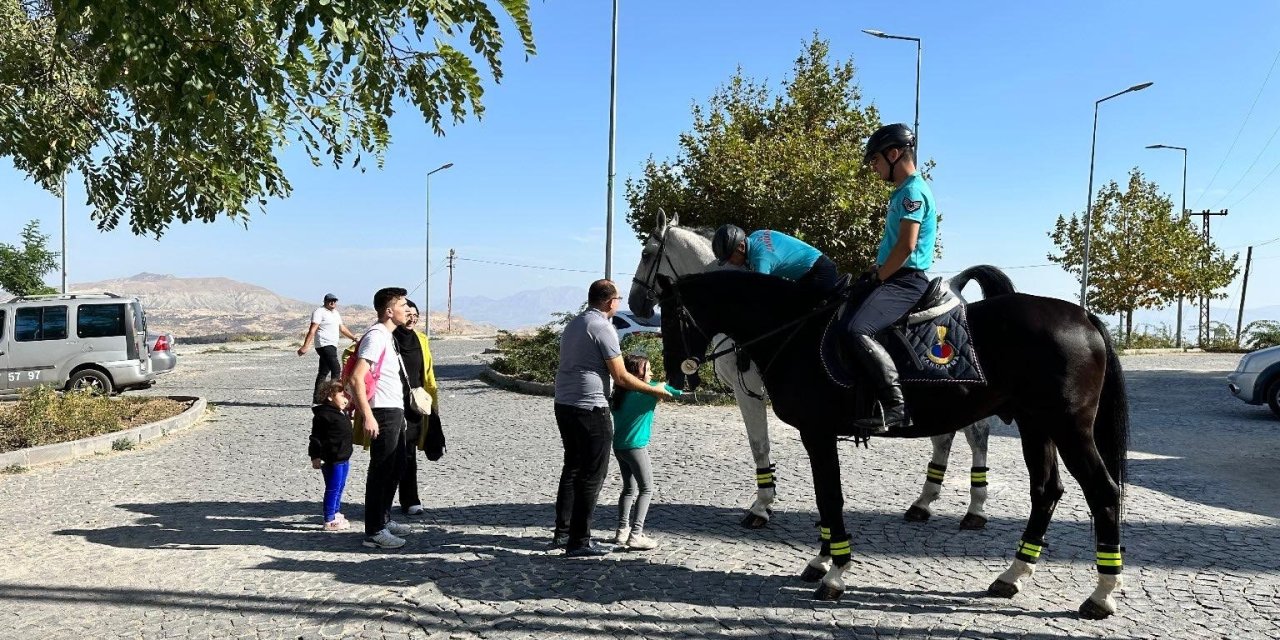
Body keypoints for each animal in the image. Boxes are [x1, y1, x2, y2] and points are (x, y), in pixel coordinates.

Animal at [624, 215, 993, 529]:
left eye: (646, 253)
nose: (636, 305)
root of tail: (955, 288)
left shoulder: (749, 392)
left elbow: (759, 445)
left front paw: (761, 506)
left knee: (977, 435)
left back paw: (974, 510)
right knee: (945, 436)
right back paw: (923, 503)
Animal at [660, 266, 1131, 619]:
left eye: (670, 317)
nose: (677, 374)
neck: (796, 332)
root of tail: (1083, 317)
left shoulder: (817, 432)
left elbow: (830, 498)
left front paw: (835, 573)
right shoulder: (818, 435)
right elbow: (825, 499)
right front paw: (822, 560)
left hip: (1069, 429)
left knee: (1103, 492)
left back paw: (1101, 594)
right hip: (1037, 426)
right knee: (1046, 491)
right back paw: (1011, 576)